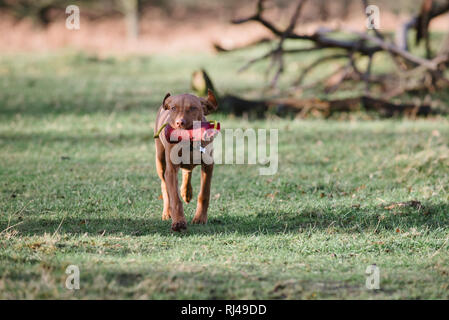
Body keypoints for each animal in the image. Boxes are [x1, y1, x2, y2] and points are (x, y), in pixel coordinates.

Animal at [153, 89, 218, 231]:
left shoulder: (208, 165)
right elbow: (174, 198)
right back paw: (167, 212)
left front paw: (200, 218)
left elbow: (204, 193)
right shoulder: (171, 170)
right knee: (164, 185)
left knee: (187, 171)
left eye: (193, 108)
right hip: (160, 160)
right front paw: (178, 222)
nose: (179, 123)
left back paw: (186, 192)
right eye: (173, 108)